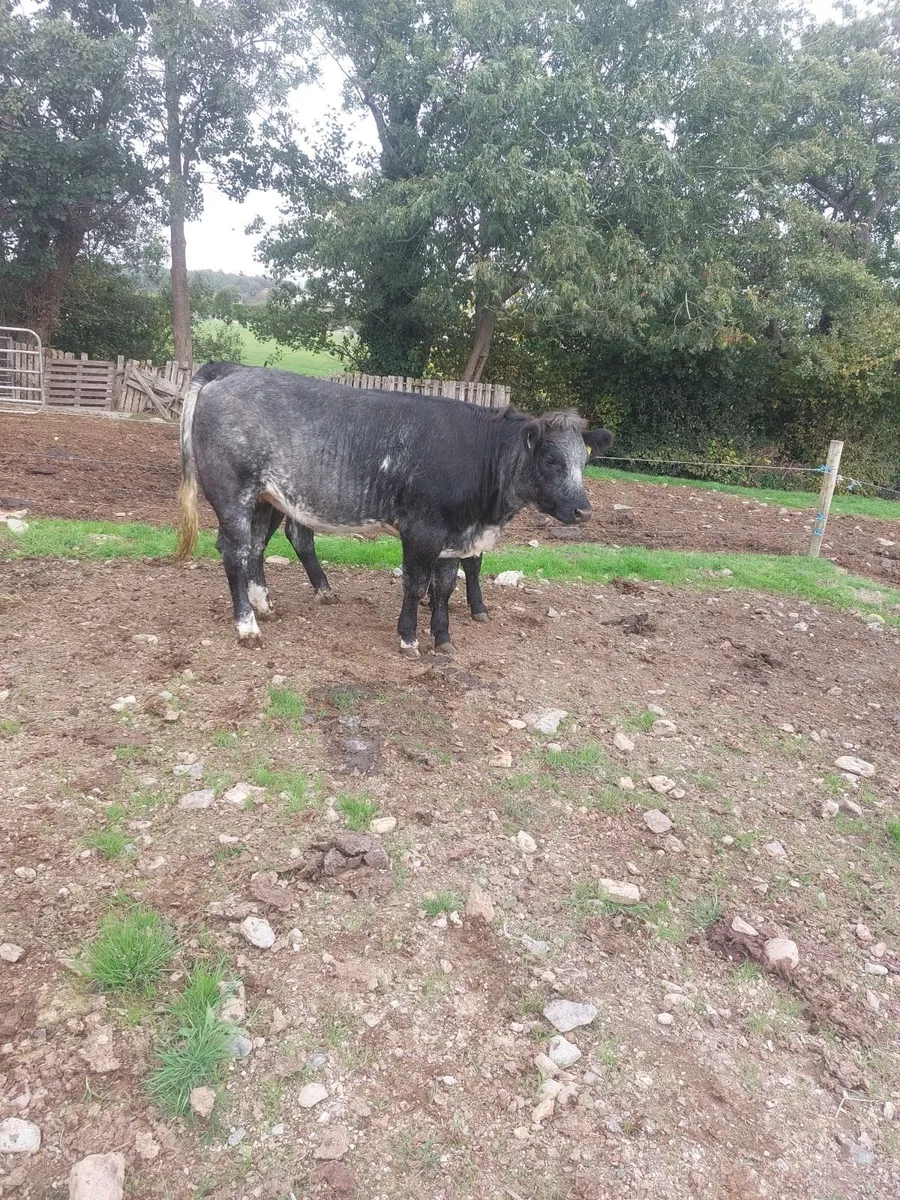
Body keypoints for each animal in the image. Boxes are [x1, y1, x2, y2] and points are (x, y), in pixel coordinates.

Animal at [175, 364, 593, 655]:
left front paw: (443, 637)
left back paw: (265, 605)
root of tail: (232, 371)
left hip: (267, 498)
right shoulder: (422, 529)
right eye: (552, 460)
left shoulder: (454, 534)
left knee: (257, 547)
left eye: (584, 461)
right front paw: (409, 638)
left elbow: (445, 587)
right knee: (235, 552)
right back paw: (247, 626)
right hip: (233, 493)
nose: (584, 511)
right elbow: (414, 583)